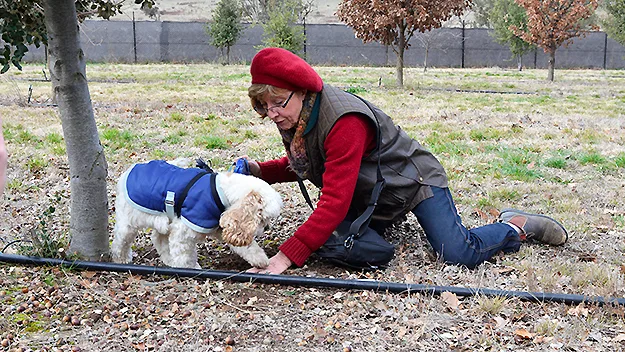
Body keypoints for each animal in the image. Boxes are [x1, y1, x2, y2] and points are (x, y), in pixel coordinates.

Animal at [111, 160, 282, 270]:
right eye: (262, 218)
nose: (266, 228)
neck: (222, 192)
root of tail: (129, 170)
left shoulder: (220, 225)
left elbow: (247, 246)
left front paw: (261, 260)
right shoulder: (184, 231)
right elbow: (185, 256)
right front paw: (190, 269)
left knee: (158, 239)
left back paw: (168, 260)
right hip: (128, 222)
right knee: (120, 240)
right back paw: (121, 259)